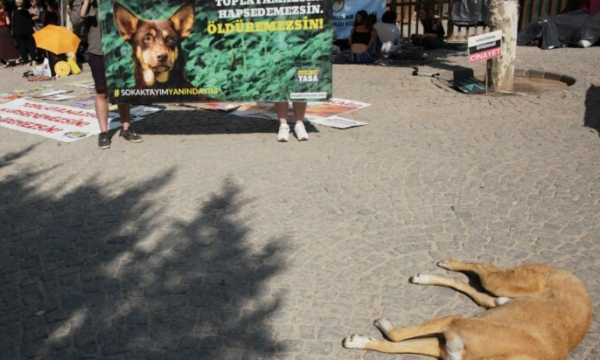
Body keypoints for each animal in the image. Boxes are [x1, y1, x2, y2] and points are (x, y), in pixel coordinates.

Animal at [342, 260, 592, 360]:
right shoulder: (453, 323)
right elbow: (395, 337)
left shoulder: (443, 346)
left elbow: (393, 344)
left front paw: (362, 341)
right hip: (499, 284)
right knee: (482, 268)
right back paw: (451, 264)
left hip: (496, 301)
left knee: (469, 288)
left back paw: (427, 277)